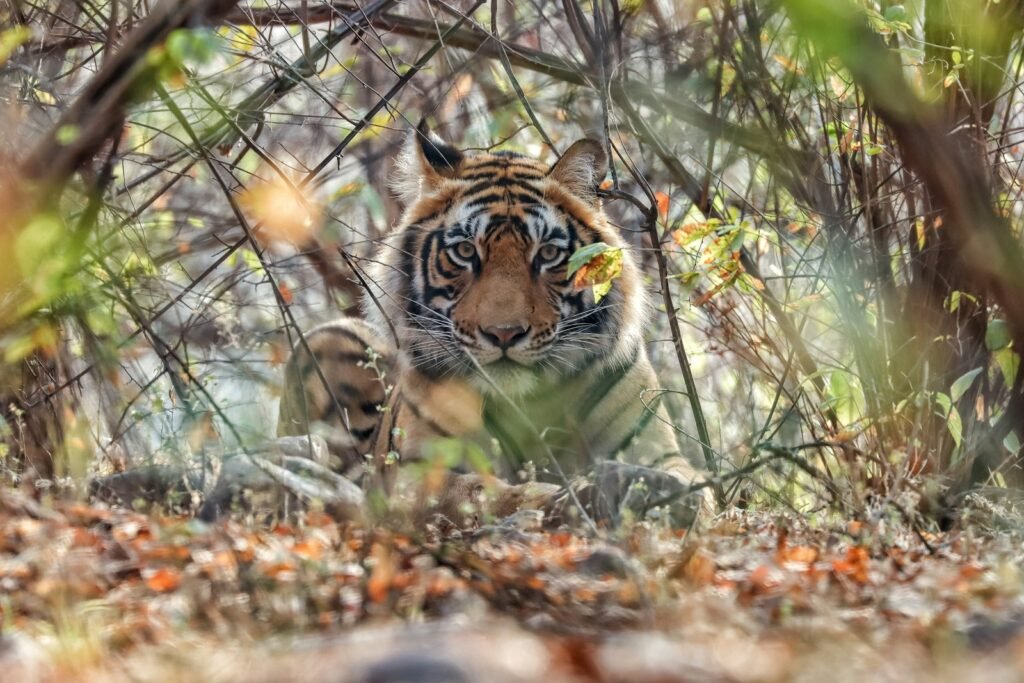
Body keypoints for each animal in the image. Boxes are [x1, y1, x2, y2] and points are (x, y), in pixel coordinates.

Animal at [278, 123, 708, 526]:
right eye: (465, 251)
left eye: (547, 254)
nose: (504, 333)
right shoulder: (417, 473)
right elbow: (485, 492)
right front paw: (564, 497)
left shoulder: (656, 450)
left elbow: (692, 484)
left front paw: (658, 493)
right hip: (329, 337)